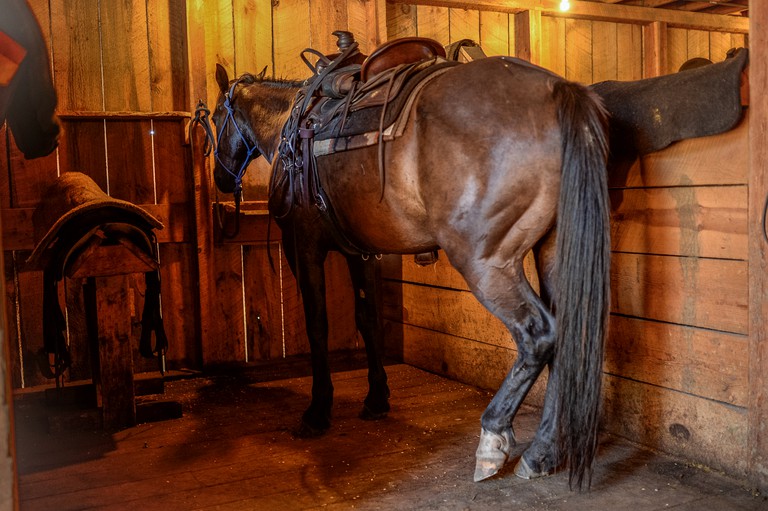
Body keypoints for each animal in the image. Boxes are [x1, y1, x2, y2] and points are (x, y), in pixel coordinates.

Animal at [212, 50, 612, 490]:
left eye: (214, 117)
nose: (219, 178)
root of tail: (557, 90)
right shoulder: (361, 253)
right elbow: (368, 320)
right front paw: (376, 398)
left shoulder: (303, 249)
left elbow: (318, 326)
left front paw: (318, 411)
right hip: (552, 250)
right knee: (565, 338)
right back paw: (543, 452)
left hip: (488, 262)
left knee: (538, 335)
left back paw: (494, 436)